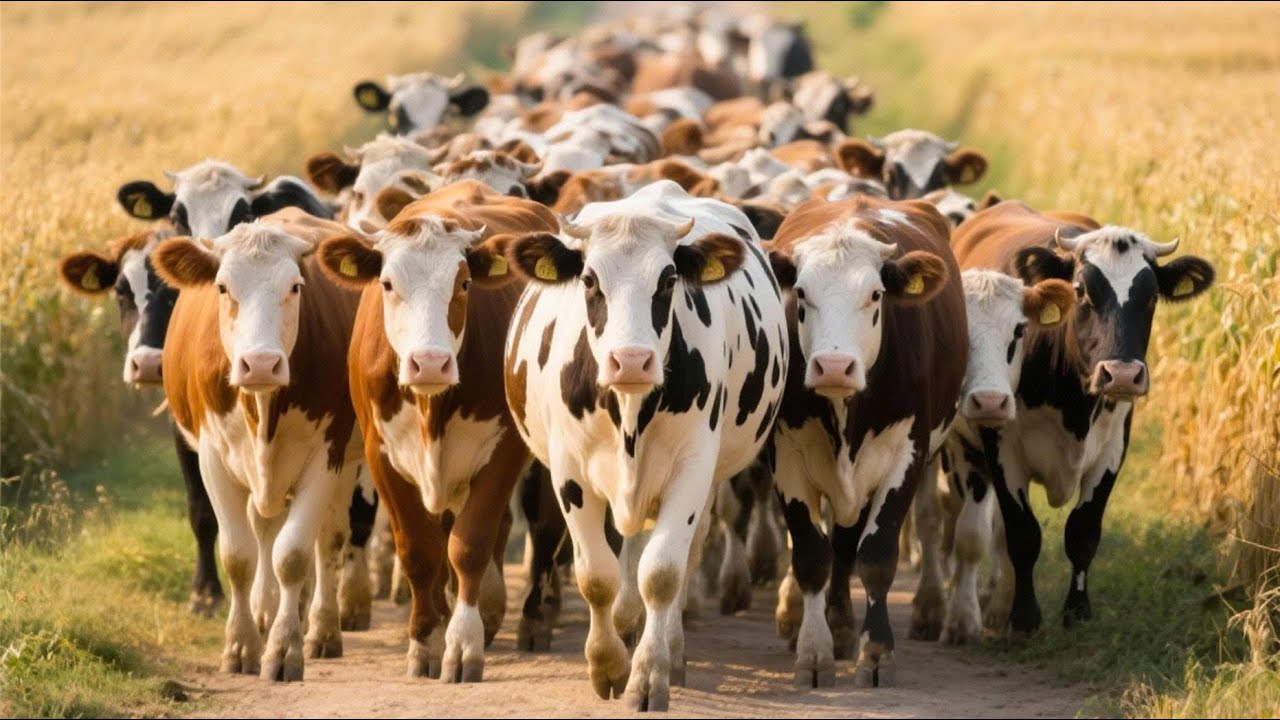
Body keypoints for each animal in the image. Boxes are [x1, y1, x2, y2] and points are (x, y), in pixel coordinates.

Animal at [149, 209, 362, 681]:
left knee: (329, 539)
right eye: (223, 287)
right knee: (263, 527)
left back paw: (322, 629)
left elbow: (294, 554)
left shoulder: (326, 455)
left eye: (295, 287)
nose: (261, 363)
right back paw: (265, 611)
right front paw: (242, 644)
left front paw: (285, 649)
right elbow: (239, 555)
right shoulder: (211, 457)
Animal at [316, 180, 560, 681]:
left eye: (463, 284)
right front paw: (427, 640)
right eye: (388, 284)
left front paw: (463, 645)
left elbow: (469, 545)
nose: (429, 362)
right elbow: (420, 550)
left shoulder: (503, 451)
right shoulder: (381, 454)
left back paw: (527, 619)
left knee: (542, 527)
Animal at [502, 180, 788, 710]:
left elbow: (662, 573)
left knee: (680, 556)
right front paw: (607, 665)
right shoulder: (570, 474)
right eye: (589, 279)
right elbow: (597, 576)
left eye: (669, 279)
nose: (631, 360)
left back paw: (668, 648)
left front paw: (649, 675)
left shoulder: (692, 471)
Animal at [763, 195, 965, 688]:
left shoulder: (905, 457)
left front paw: (876, 654)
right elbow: (812, 554)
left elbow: (874, 555)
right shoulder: (788, 458)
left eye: (875, 296)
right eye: (801, 294)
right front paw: (813, 653)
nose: (834, 366)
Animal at [945, 201, 1214, 638]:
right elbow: (1023, 534)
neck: (1071, 396)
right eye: (1082, 291)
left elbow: (1082, 532)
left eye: (1152, 296)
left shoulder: (1111, 450)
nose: (1121, 374)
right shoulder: (1001, 448)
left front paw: (1076, 611)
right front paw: (1024, 617)